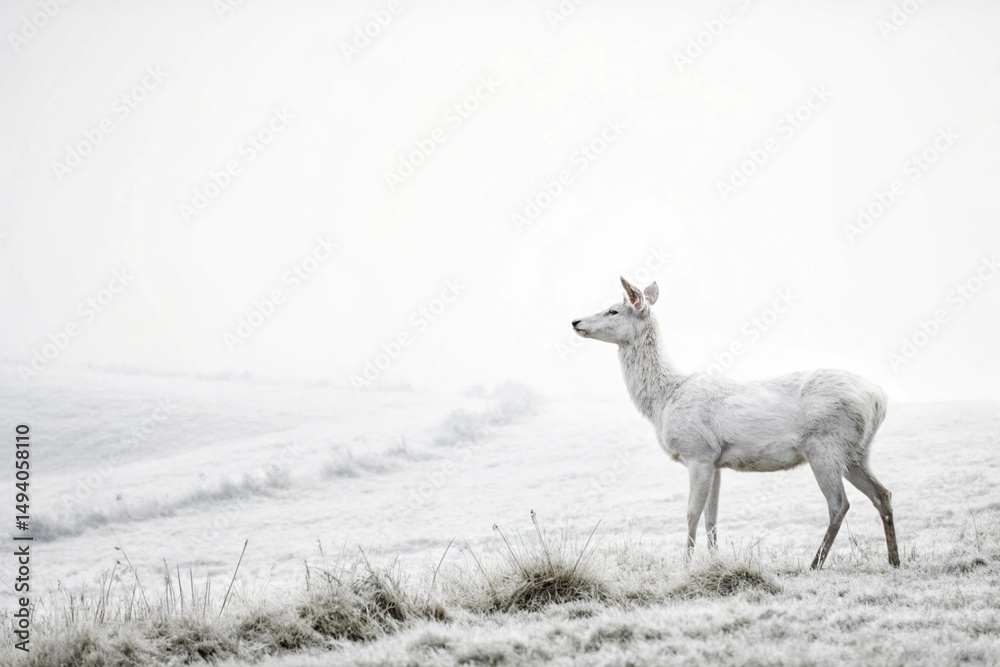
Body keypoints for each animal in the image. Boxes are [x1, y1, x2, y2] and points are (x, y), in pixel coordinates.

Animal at [571, 277, 900, 569]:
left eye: (613, 310)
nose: (575, 322)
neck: (664, 401)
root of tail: (880, 399)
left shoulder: (698, 452)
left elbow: (691, 513)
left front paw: (686, 565)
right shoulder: (716, 461)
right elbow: (711, 517)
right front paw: (714, 562)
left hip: (825, 444)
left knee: (839, 503)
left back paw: (815, 564)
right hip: (856, 451)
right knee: (882, 493)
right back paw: (894, 560)